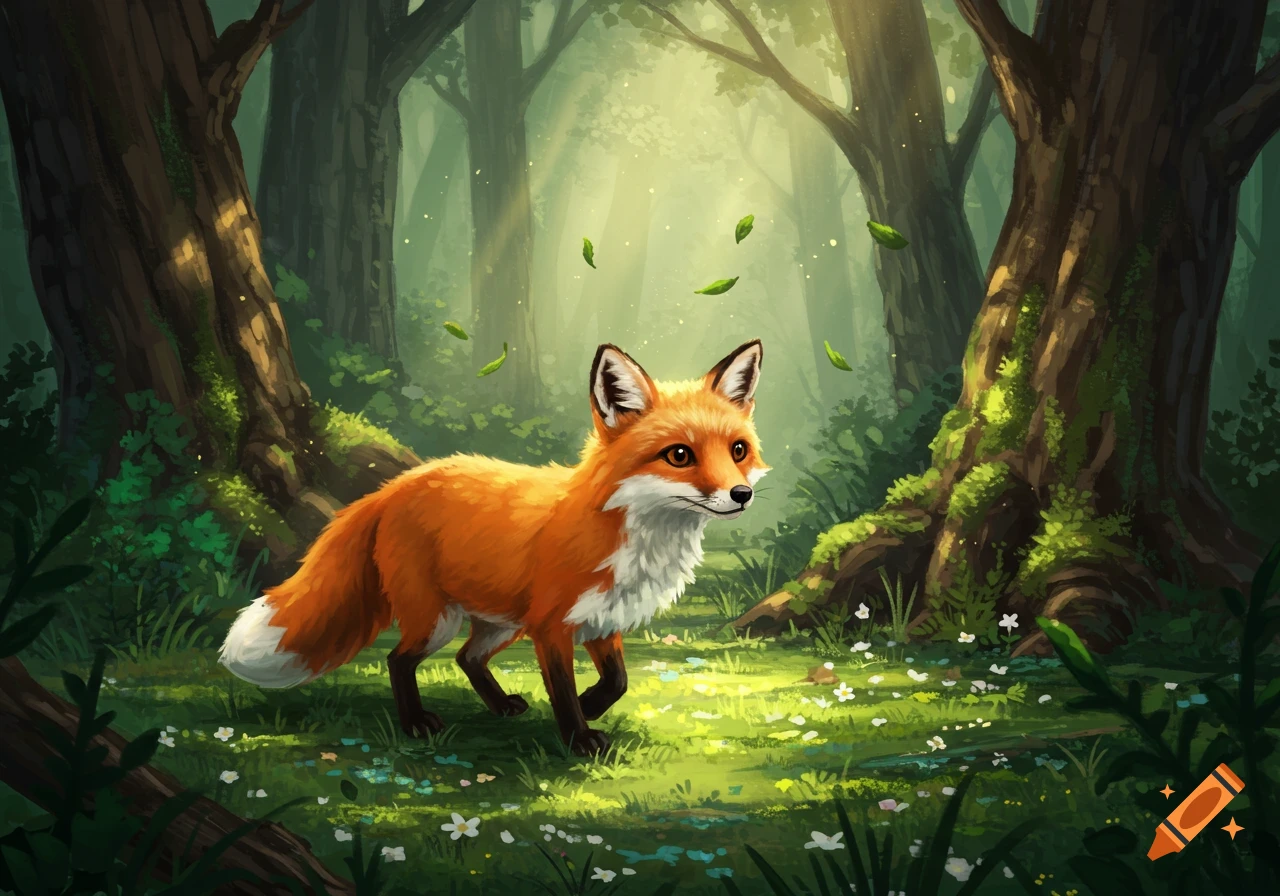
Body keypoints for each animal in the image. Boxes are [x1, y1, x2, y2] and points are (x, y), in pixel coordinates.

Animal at [218, 340, 769, 755]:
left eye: (737, 450)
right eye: (679, 455)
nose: (742, 495)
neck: (633, 533)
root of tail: (394, 486)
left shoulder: (602, 619)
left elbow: (618, 683)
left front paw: (591, 706)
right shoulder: (552, 626)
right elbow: (564, 691)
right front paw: (578, 737)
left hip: (501, 622)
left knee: (467, 659)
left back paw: (501, 706)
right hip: (439, 619)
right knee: (400, 659)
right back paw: (415, 723)